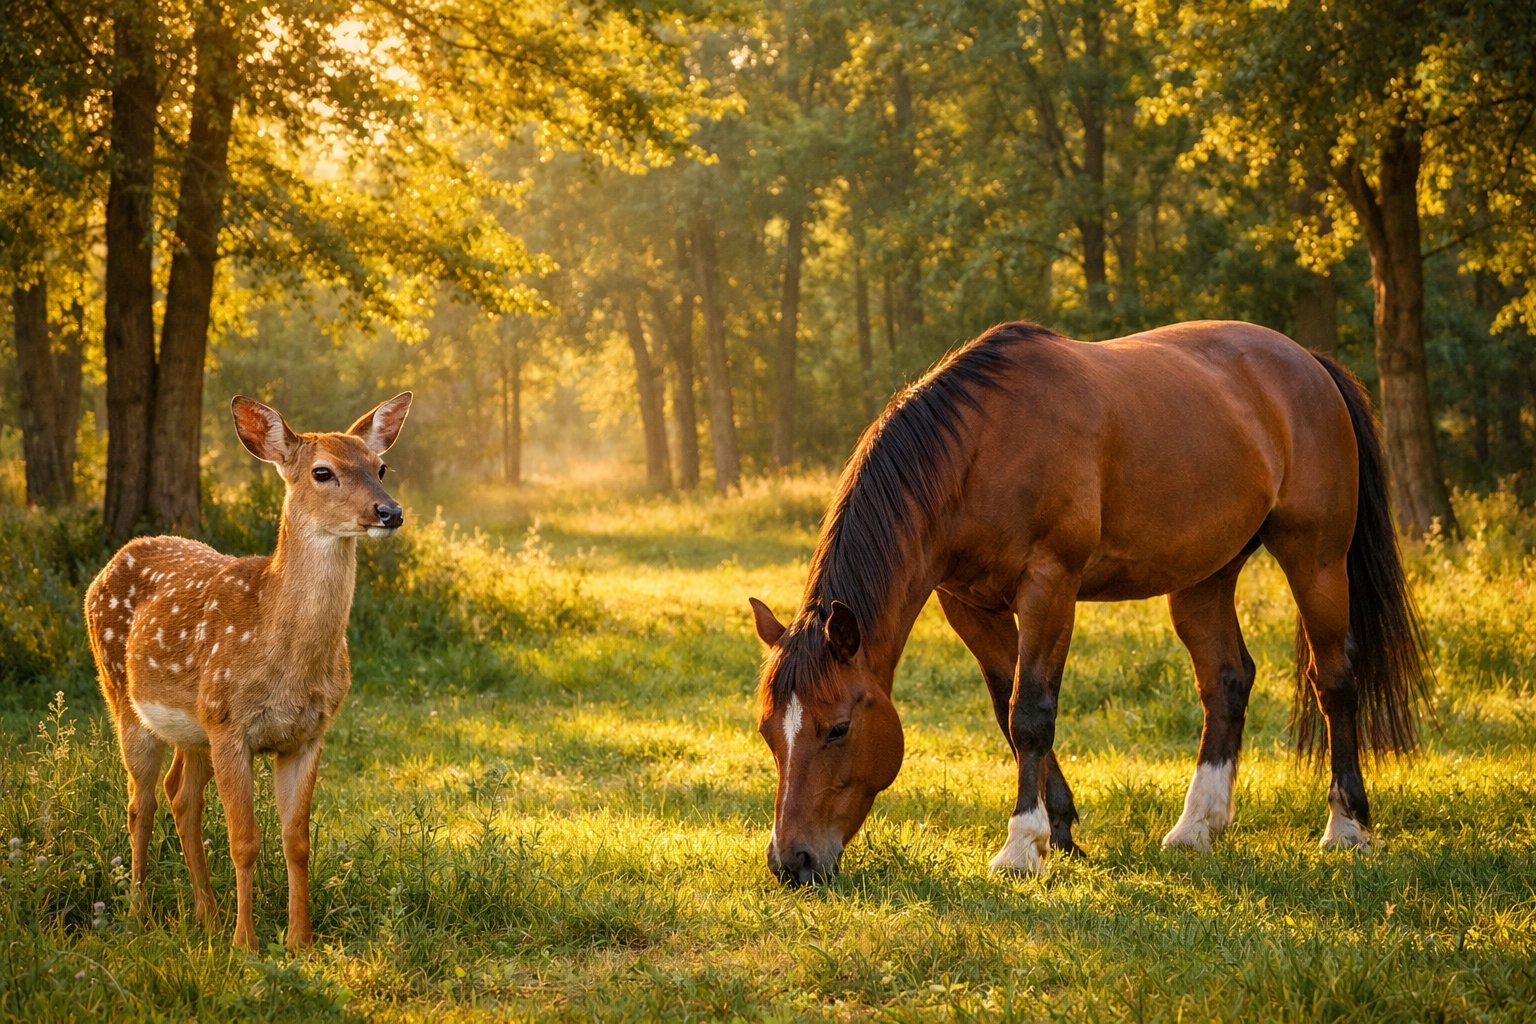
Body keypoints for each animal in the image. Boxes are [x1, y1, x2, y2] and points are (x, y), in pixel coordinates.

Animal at [85, 392, 412, 951]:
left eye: (380, 466)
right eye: (323, 471)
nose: (389, 511)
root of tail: (112, 561)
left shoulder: (308, 733)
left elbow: (297, 839)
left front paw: (299, 939)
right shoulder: (230, 724)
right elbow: (244, 839)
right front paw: (247, 943)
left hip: (194, 727)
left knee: (180, 797)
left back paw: (206, 913)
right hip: (124, 697)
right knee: (139, 803)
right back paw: (138, 914)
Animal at [749, 320, 1430, 884]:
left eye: (839, 728)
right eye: (768, 731)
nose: (792, 862)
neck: (982, 449)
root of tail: (1309, 363)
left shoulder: (1050, 583)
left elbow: (1031, 712)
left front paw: (1022, 846)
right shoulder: (968, 604)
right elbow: (1007, 710)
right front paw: (1061, 832)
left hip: (1316, 558)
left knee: (1334, 679)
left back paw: (1345, 826)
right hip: (1205, 576)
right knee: (1227, 681)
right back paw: (1197, 827)